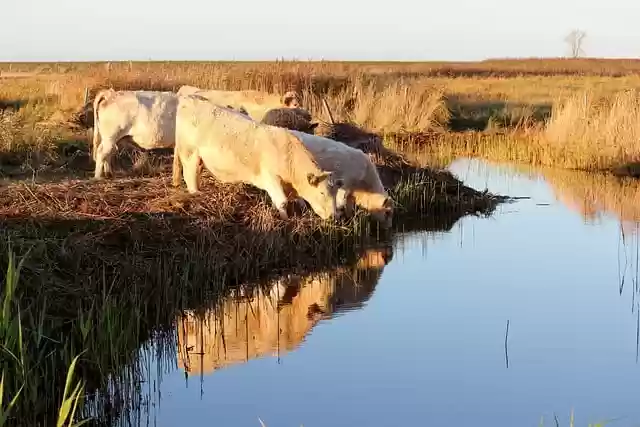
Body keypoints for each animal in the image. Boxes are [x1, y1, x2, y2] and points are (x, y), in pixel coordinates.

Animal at [169, 93, 340, 221]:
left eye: (334, 193)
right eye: (322, 193)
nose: (334, 216)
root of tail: (190, 98)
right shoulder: (271, 177)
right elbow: (282, 203)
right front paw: (285, 220)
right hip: (189, 153)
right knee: (189, 176)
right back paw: (196, 194)